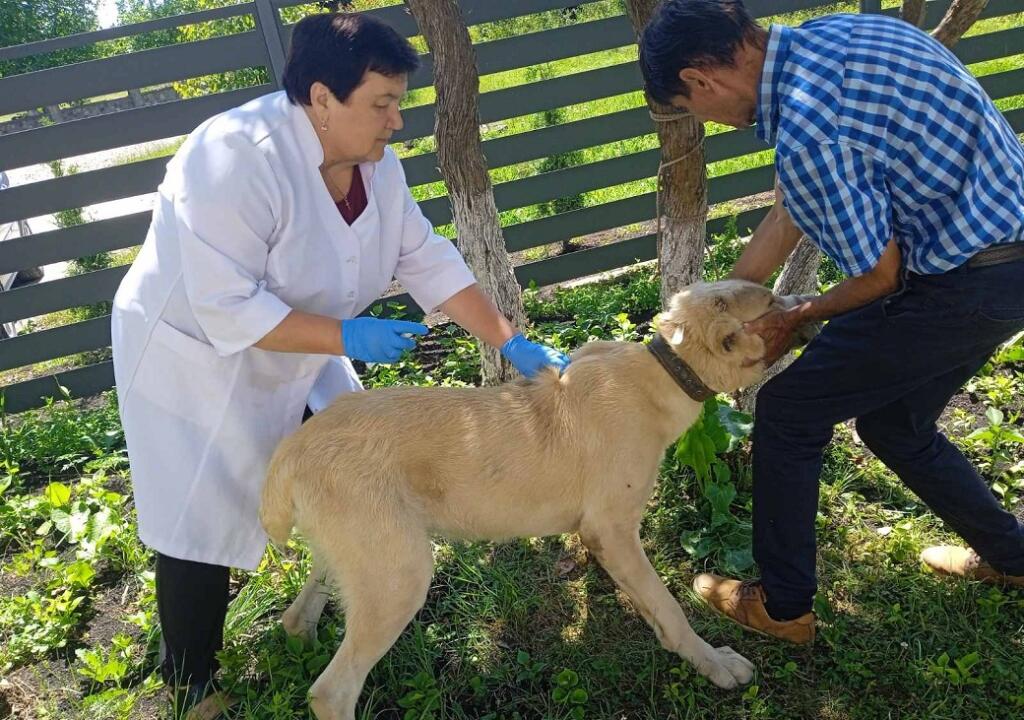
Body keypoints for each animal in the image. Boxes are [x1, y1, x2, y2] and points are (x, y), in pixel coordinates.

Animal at [264, 276, 790, 720]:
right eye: (773, 302)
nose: (805, 301)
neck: (664, 369)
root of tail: (290, 450)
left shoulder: (601, 537)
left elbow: (647, 601)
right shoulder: (614, 531)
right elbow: (670, 608)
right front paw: (714, 663)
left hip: (359, 559)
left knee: (297, 616)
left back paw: (301, 642)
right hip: (399, 577)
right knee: (331, 691)